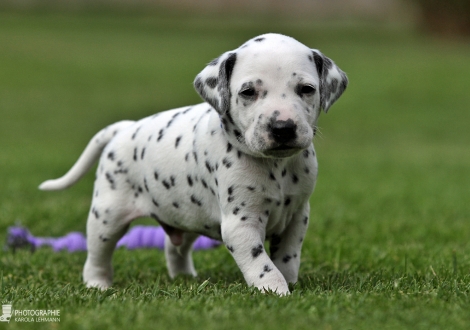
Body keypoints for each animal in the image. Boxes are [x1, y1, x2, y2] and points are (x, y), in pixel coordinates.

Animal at [40, 33, 346, 296]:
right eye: (248, 92)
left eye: (306, 89)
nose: (283, 128)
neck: (276, 166)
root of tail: (124, 128)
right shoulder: (241, 224)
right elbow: (261, 263)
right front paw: (274, 290)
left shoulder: (297, 216)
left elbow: (287, 256)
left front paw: (289, 281)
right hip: (107, 215)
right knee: (97, 254)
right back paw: (97, 284)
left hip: (186, 213)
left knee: (173, 246)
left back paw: (184, 277)